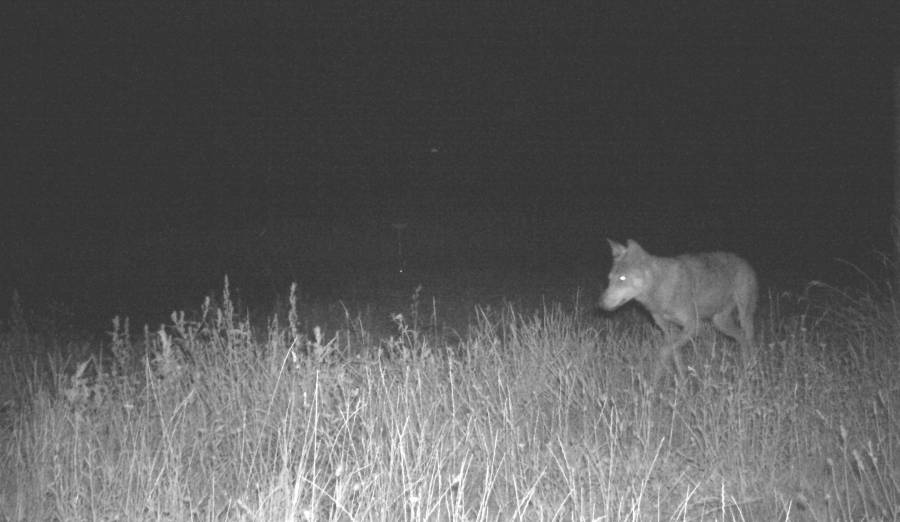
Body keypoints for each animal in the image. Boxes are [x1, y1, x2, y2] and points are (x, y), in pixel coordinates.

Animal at [600, 238, 756, 384]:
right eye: (609, 279)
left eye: (622, 278)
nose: (599, 304)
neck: (661, 287)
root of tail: (744, 261)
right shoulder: (670, 330)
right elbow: (676, 356)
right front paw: (681, 385)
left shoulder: (693, 325)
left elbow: (664, 351)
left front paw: (654, 384)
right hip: (720, 323)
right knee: (741, 337)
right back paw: (745, 367)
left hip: (744, 316)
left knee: (749, 338)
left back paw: (751, 368)